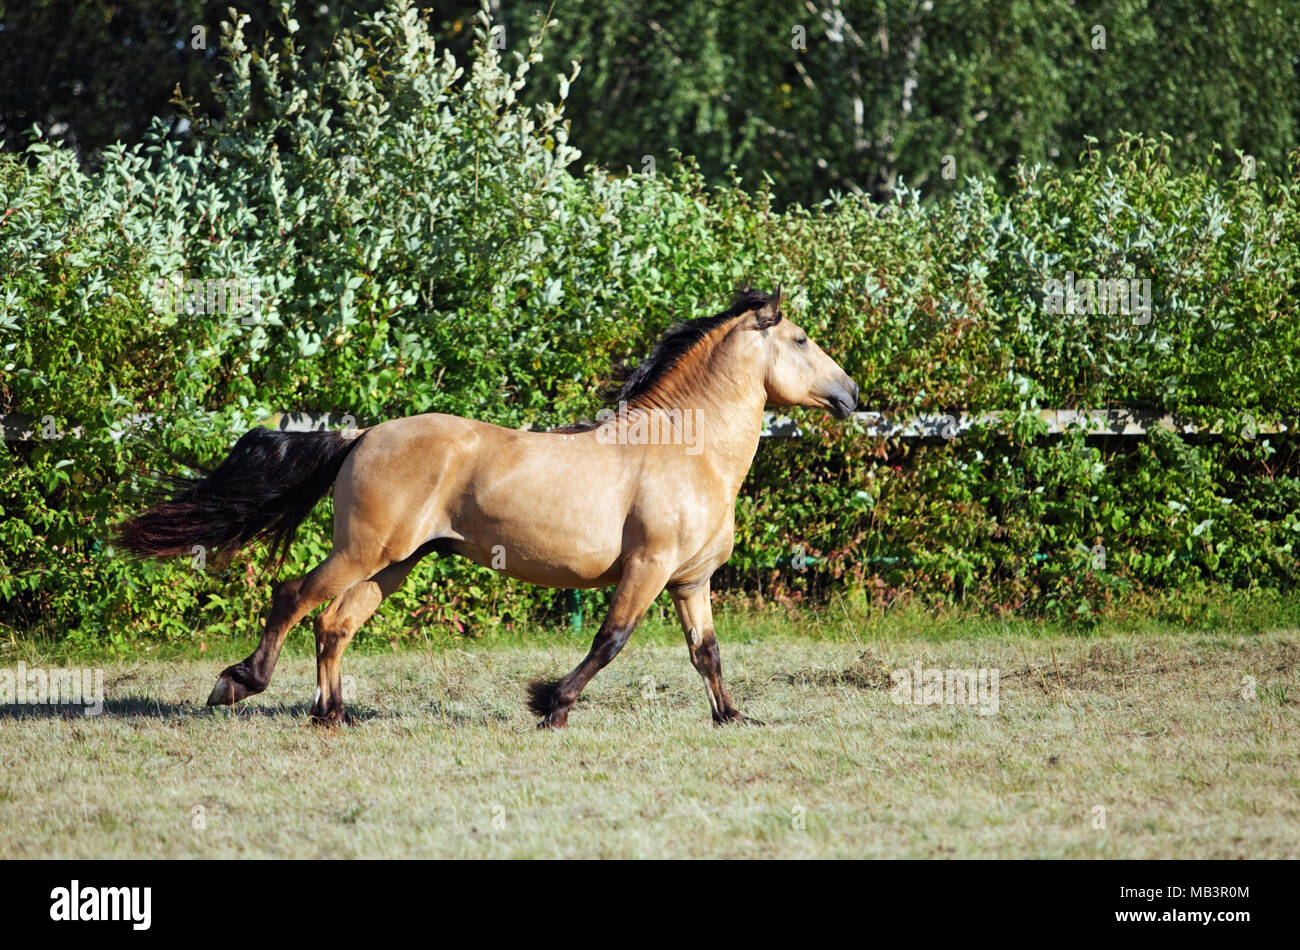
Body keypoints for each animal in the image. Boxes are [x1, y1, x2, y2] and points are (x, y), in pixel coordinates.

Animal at [116, 288, 857, 727]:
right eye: (800, 340)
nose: (849, 395)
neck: (683, 449)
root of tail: (361, 437)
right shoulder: (646, 570)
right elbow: (609, 641)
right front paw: (549, 705)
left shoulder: (688, 581)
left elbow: (707, 652)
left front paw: (731, 717)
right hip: (365, 550)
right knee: (294, 595)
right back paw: (239, 682)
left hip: (395, 563)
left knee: (335, 622)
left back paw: (333, 714)